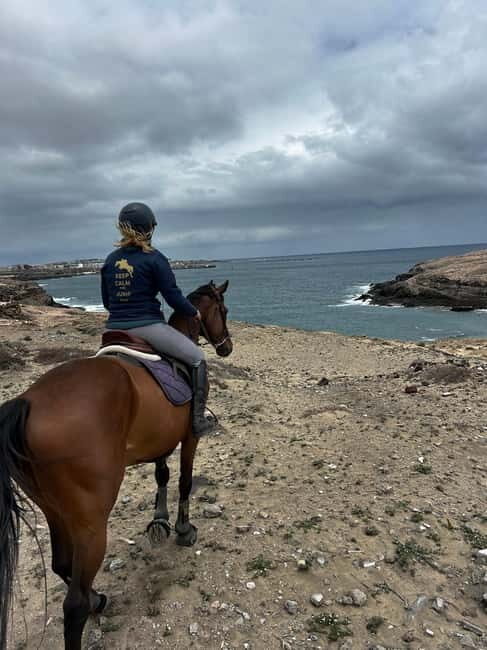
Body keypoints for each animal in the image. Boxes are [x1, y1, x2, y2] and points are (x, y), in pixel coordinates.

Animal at [0, 280, 232, 650]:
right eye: (222, 310)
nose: (227, 346)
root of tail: (27, 402)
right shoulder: (188, 438)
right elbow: (184, 480)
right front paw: (183, 529)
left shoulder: (160, 440)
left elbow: (162, 475)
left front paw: (160, 521)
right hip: (92, 520)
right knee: (74, 604)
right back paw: (91, 604)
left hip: (54, 510)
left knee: (62, 564)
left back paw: (98, 598)